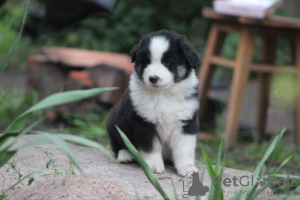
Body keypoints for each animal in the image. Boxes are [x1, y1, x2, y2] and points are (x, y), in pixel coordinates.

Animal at [106, 29, 200, 177]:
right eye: (146, 62)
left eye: (167, 62)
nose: (153, 78)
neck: (163, 93)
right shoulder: (143, 122)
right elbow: (151, 147)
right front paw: (153, 166)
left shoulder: (186, 121)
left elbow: (184, 148)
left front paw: (187, 168)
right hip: (114, 121)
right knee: (118, 143)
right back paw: (126, 155)